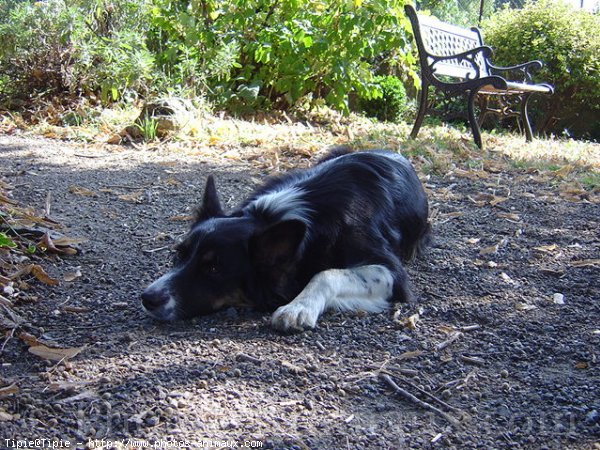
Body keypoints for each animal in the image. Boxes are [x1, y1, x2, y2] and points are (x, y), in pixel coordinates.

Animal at [142, 149, 432, 330]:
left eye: (213, 268)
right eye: (179, 255)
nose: (148, 298)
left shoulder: (392, 272)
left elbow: (326, 274)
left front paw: (298, 308)